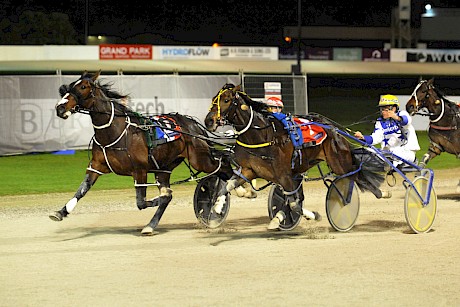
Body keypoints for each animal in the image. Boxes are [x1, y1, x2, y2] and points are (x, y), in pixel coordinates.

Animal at [50, 71, 235, 236]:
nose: (60, 108)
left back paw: (221, 198)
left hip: (200, 159)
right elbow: (82, 190)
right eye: (70, 85)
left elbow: (141, 202)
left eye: (82, 87)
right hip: (164, 168)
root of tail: (195, 126)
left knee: (225, 168)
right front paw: (60, 212)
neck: (116, 131)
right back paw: (150, 226)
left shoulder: (140, 170)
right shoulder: (95, 166)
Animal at [205, 84, 384, 231]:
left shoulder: (283, 175)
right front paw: (217, 208)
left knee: (357, 174)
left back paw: (378, 193)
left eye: (226, 100)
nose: (209, 121)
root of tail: (334, 129)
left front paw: (313, 215)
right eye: (213, 99)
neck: (262, 135)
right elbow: (227, 186)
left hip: (340, 163)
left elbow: (294, 204)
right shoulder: (250, 170)